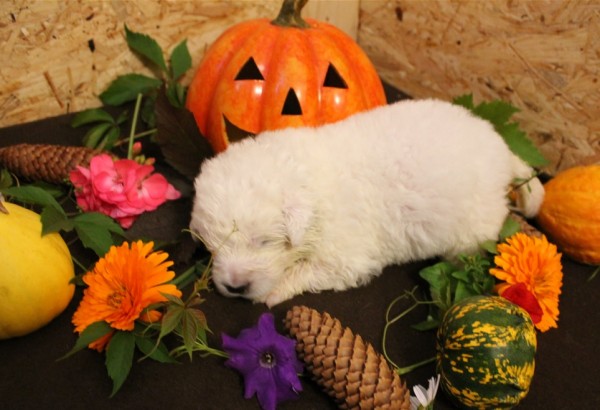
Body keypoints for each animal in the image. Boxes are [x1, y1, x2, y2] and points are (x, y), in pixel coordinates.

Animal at [190, 99, 544, 307]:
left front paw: (274, 291)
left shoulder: (347, 255)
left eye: (263, 242)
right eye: (212, 247)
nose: (234, 286)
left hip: (472, 230)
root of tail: (503, 152)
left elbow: (311, 269)